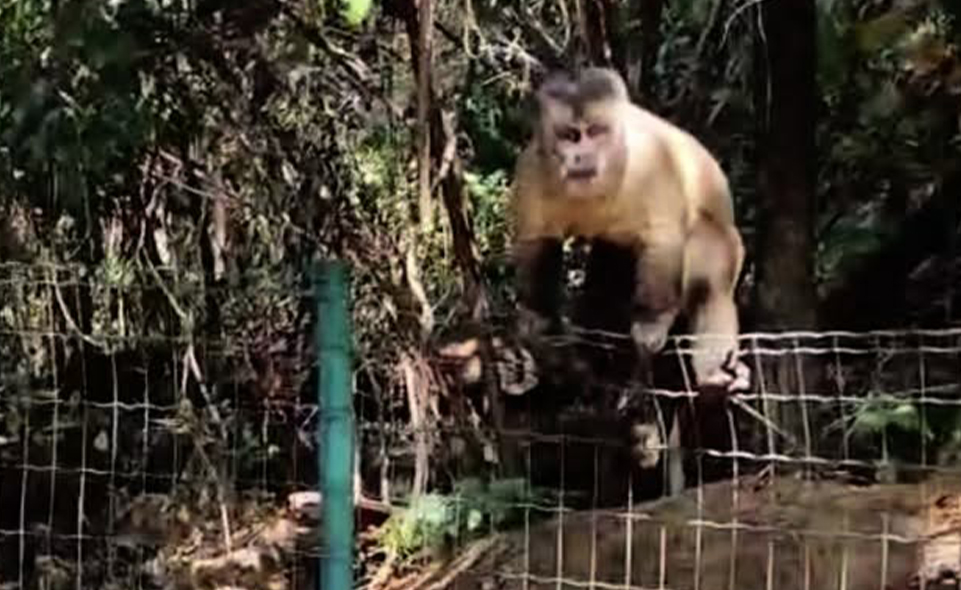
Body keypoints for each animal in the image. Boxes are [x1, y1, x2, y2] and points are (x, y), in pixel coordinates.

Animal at [510, 67, 750, 394]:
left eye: (595, 132)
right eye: (570, 135)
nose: (582, 156)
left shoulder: (653, 160)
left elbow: (665, 238)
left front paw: (651, 322)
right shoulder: (532, 169)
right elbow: (538, 242)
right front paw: (539, 322)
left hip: (729, 242)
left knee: (706, 262)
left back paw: (713, 374)